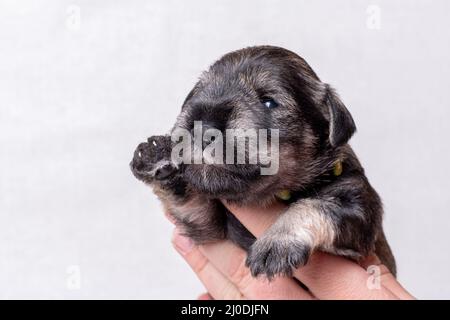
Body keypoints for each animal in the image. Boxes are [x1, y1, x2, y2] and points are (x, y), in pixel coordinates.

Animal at [130, 45, 398, 278]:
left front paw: (277, 241)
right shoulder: (209, 227)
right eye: (197, 93)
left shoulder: (359, 207)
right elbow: (189, 199)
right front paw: (157, 156)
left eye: (268, 101)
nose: (202, 126)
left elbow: (316, 204)